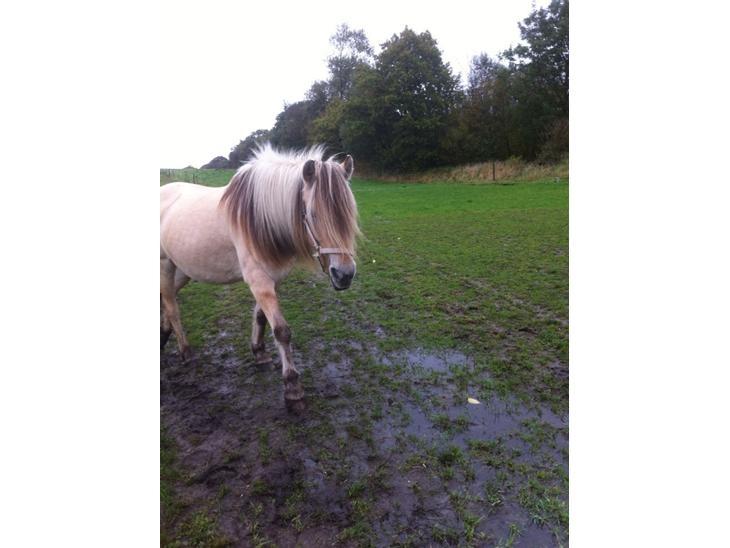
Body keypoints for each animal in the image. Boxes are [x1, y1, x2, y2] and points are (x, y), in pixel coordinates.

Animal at [162, 146, 362, 412]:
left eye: (350, 212)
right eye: (313, 214)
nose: (344, 275)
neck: (259, 220)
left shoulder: (271, 279)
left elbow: (260, 318)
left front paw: (259, 353)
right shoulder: (259, 280)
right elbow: (281, 331)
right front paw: (292, 387)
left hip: (183, 268)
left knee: (167, 299)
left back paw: (163, 335)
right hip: (165, 264)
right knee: (172, 306)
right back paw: (186, 352)